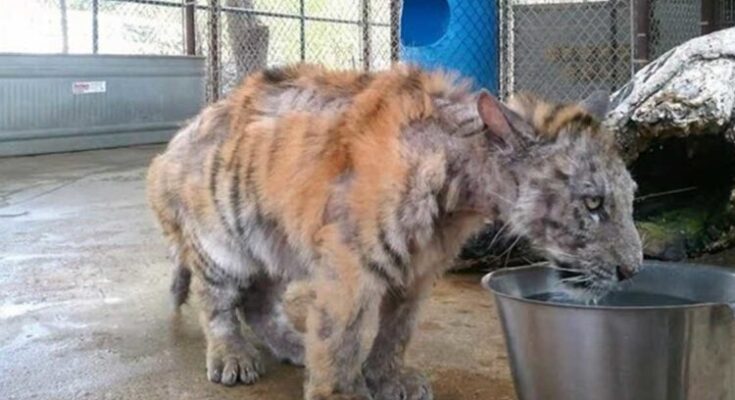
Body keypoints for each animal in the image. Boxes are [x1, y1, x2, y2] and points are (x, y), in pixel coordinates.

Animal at [146, 63, 642, 400]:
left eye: (630, 196)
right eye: (593, 203)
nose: (632, 270)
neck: (460, 191)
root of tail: (175, 143)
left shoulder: (418, 269)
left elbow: (396, 331)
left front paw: (387, 379)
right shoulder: (349, 264)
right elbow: (341, 336)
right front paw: (340, 392)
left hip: (275, 244)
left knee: (258, 304)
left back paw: (293, 343)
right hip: (222, 242)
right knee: (216, 302)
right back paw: (232, 357)